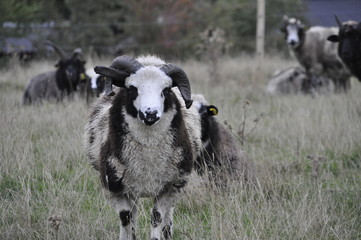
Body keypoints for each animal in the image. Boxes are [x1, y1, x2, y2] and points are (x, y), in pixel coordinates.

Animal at [84, 54, 202, 240]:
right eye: (132, 88)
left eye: (166, 90)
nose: (150, 114)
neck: (148, 149)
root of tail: (149, 59)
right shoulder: (114, 188)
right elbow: (126, 218)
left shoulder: (170, 187)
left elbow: (157, 217)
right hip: (132, 188)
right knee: (132, 215)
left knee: (167, 217)